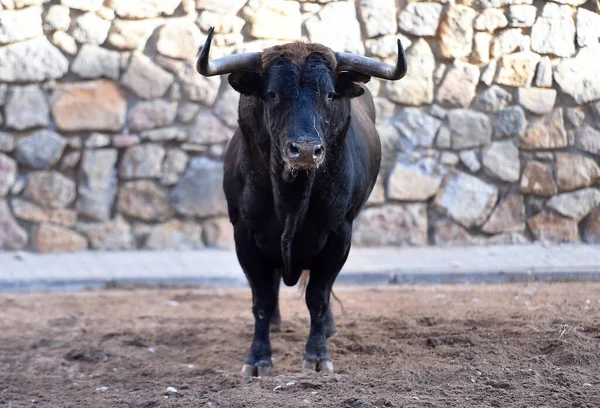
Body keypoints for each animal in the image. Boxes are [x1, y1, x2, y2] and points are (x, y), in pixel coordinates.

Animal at [197, 27, 408, 380]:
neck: (291, 197)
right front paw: (258, 359)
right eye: (272, 94)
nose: (307, 150)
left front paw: (317, 356)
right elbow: (262, 300)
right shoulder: (244, 234)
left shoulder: (339, 234)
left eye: (330, 95)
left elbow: (317, 298)